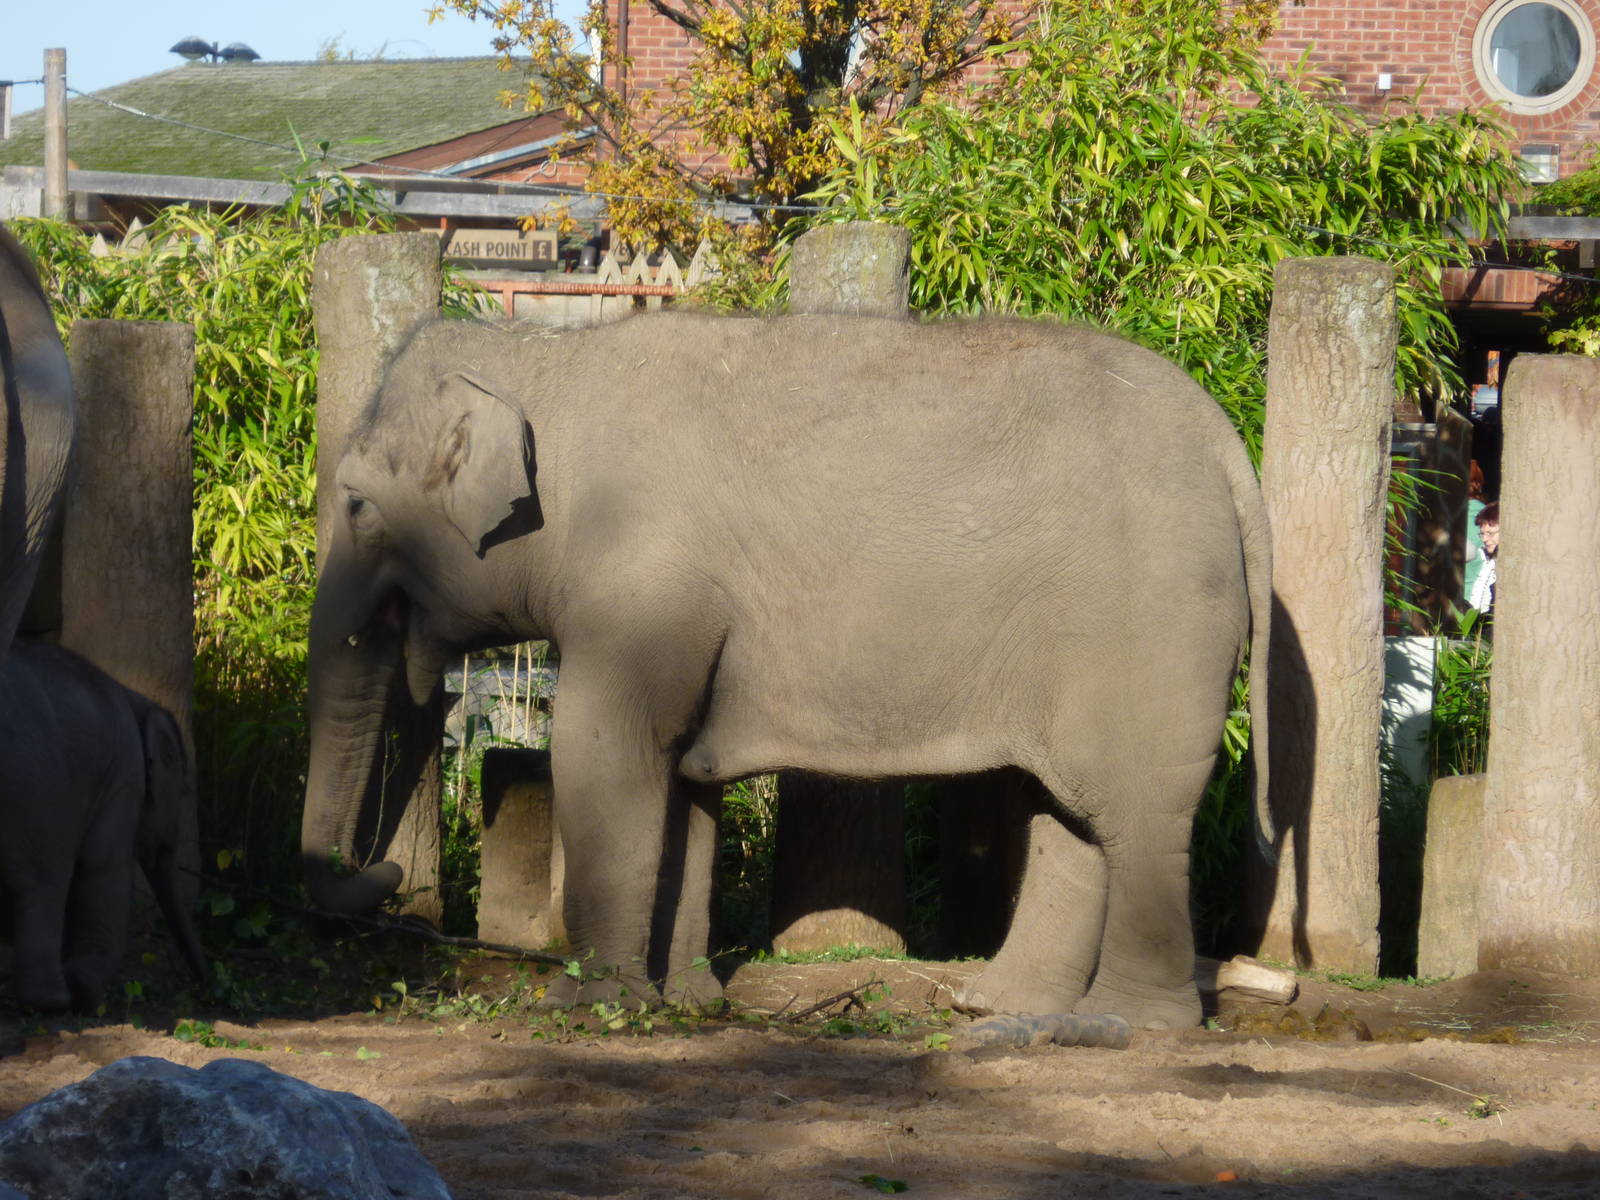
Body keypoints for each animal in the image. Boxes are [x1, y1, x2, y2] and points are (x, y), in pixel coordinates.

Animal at [0, 640, 209, 1012]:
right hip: (34, 791)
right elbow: (104, 867)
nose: (208, 989)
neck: (137, 699)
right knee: (46, 881)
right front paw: (86, 991)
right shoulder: (124, 778)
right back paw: (53, 1002)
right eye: (183, 792)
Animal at [301, 310, 1271, 1028]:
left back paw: (1128, 1023)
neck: (547, 358)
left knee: (1138, 809)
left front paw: (595, 1007)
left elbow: (606, 750)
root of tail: (1229, 447)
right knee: (1069, 810)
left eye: (355, 504)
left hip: (1151, 624)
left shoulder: (642, 586)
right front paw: (688, 1000)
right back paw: (1002, 1008)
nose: (390, 882)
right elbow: (684, 780)